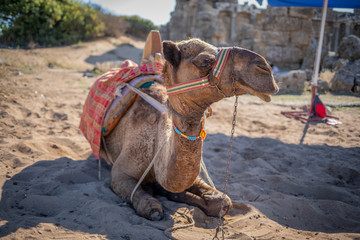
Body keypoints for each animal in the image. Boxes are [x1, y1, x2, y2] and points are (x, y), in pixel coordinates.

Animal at [98, 36, 278, 221]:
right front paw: (154, 201)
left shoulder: (194, 178)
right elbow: (150, 207)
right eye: (205, 61)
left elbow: (224, 202)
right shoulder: (120, 174)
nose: (265, 68)